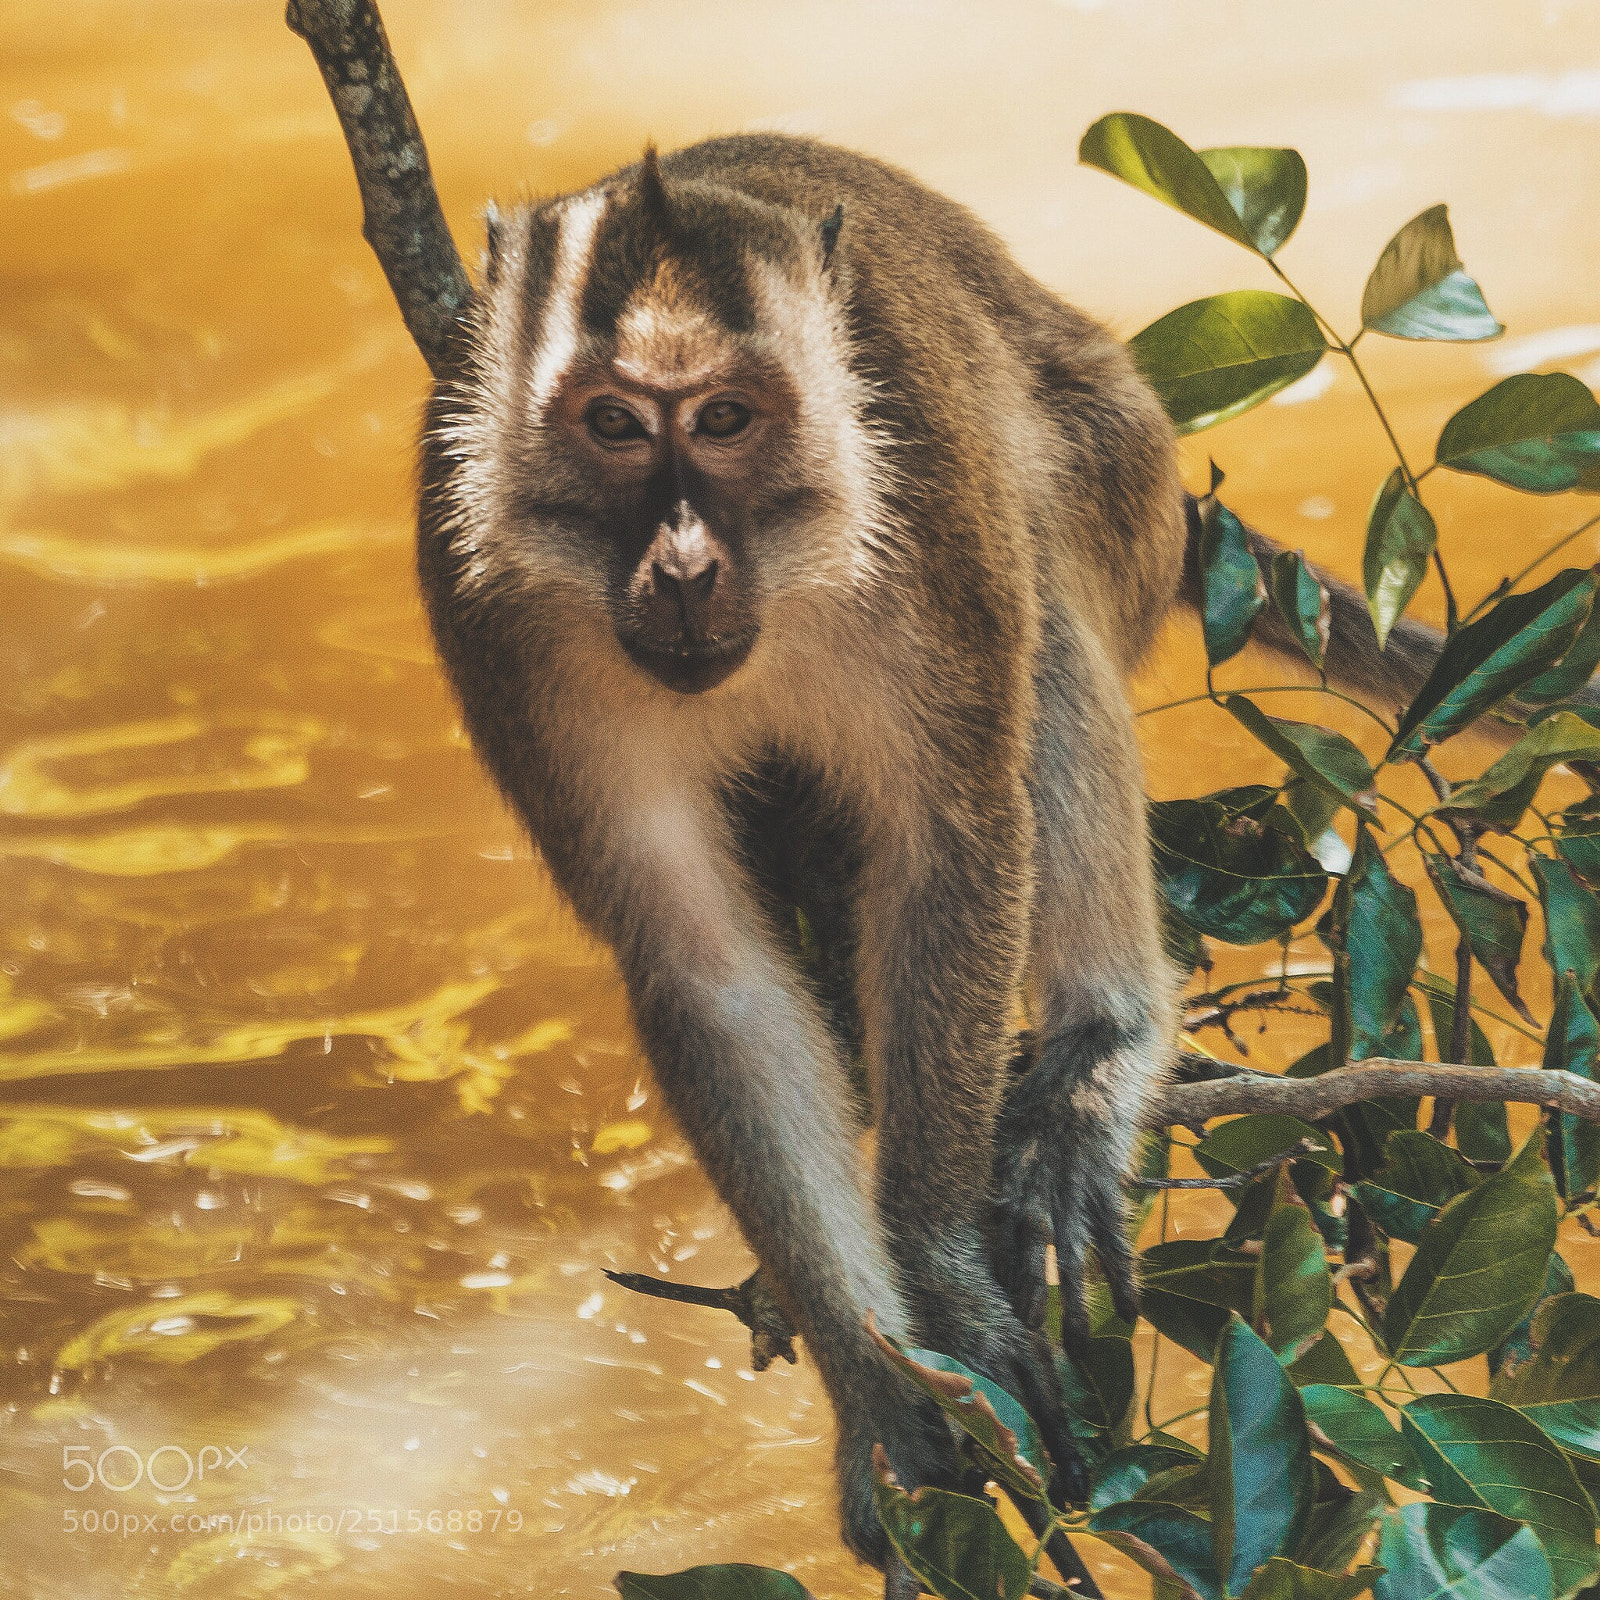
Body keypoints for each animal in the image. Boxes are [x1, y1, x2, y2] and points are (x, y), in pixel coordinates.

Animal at [411, 133, 1408, 1570]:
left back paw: (1100, 1047)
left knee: (1050, 614)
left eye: (726, 420)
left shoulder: (927, 517)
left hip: (1120, 484)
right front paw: (871, 1370)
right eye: (612, 425)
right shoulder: (487, 603)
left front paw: (935, 1271)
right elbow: (707, 968)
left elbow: (955, 847)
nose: (684, 565)